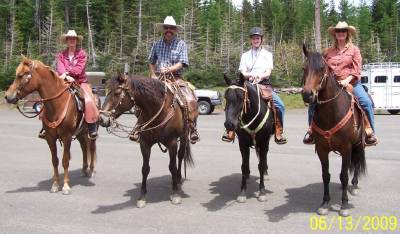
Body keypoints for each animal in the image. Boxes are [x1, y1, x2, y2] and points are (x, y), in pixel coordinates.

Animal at [4, 55, 97, 195]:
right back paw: (84, 169)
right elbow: (55, 160)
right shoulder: (50, 138)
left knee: (91, 147)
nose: (7, 96)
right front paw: (55, 185)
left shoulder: (66, 137)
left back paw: (91, 170)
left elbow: (65, 161)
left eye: (21, 75)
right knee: (84, 147)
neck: (57, 104)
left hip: (92, 132)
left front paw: (65, 186)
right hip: (81, 132)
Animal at [99, 72, 194, 207]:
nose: (102, 118)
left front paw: (175, 194)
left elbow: (172, 167)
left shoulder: (172, 143)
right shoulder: (145, 144)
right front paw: (142, 196)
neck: (158, 110)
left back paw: (178, 179)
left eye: (117, 93)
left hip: (184, 136)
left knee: (180, 157)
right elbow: (145, 169)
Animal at [222, 73, 276, 203]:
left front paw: (262, 192)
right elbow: (244, 166)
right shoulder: (243, 144)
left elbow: (261, 165)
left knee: (263, 159)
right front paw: (242, 192)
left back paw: (265, 173)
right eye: (226, 96)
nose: (229, 124)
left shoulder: (264, 142)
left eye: (241, 97)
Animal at [302, 44, 368, 217]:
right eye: (304, 68)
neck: (331, 113)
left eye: (321, 68)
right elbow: (326, 175)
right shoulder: (322, 149)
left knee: (356, 163)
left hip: (359, 144)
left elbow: (344, 175)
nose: (307, 95)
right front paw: (325, 203)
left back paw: (354, 185)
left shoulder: (346, 148)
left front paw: (344, 205)